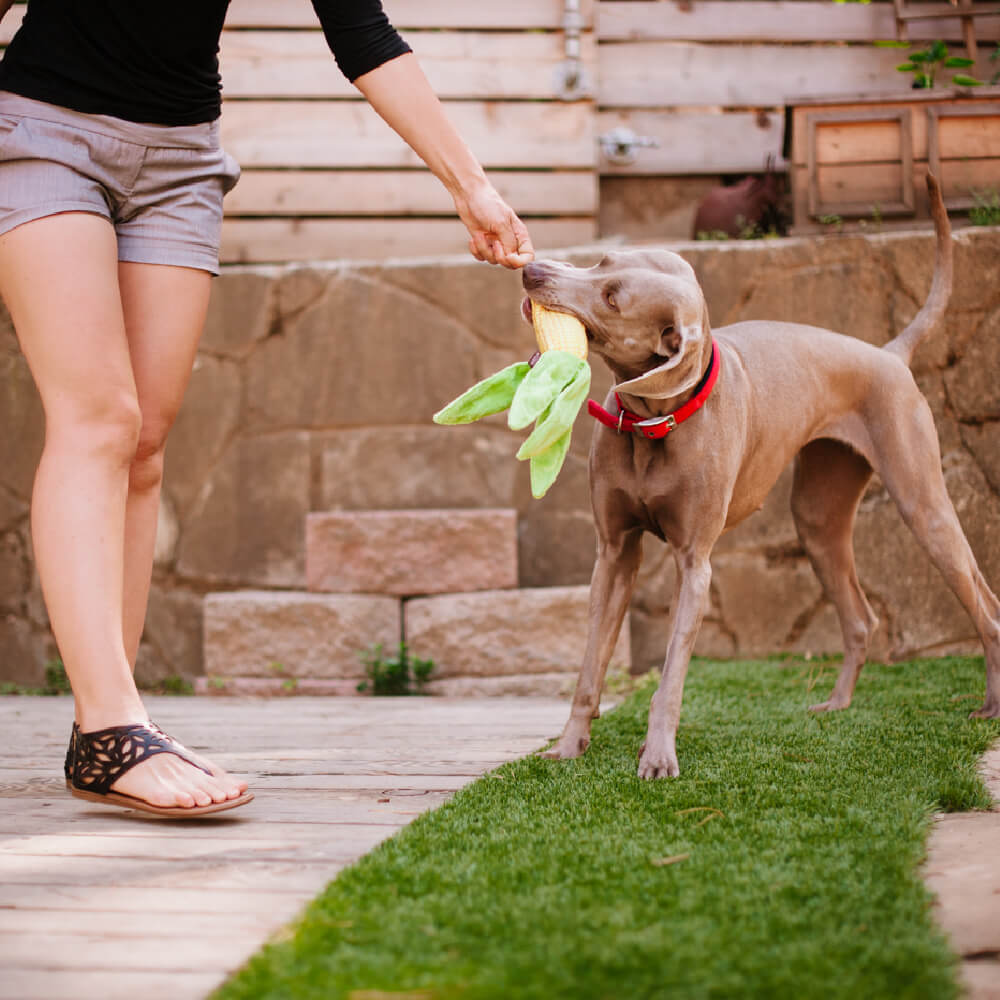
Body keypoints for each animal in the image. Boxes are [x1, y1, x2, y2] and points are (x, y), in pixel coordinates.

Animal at [524, 176, 1000, 776]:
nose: (531, 270)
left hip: (923, 504)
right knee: (861, 617)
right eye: (602, 261)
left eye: (613, 298)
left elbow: (671, 675)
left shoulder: (695, 563)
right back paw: (837, 704)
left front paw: (657, 755)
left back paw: (989, 707)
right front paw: (568, 746)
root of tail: (888, 354)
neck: (652, 423)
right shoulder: (613, 552)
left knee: (985, 604)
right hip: (818, 518)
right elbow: (590, 667)